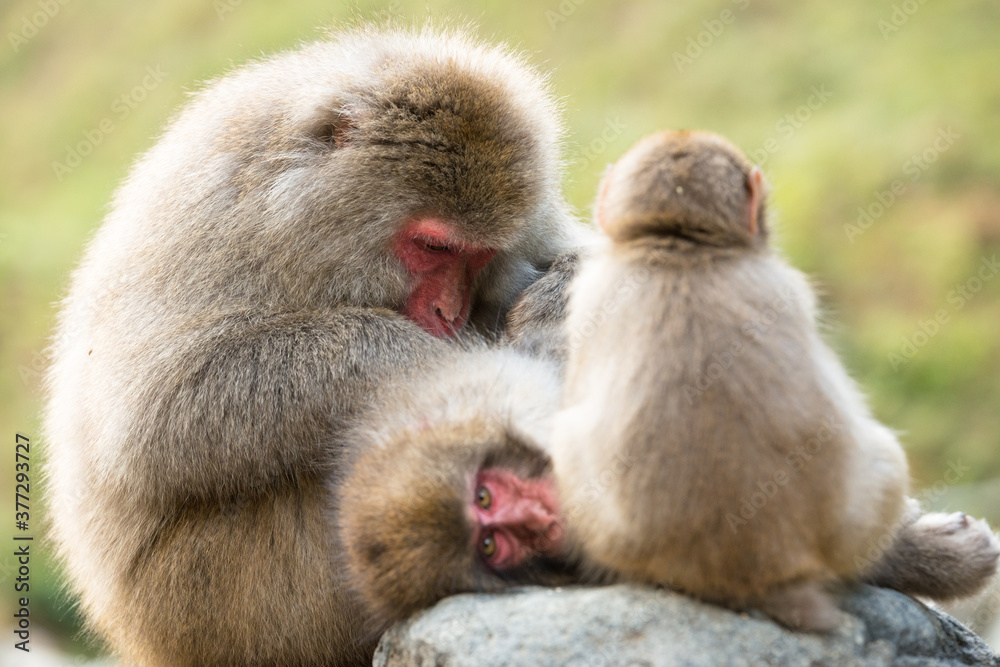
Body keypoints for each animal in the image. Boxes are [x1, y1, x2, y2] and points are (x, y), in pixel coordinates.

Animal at [43, 26, 584, 667]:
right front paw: (432, 357)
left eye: (479, 256)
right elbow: (155, 418)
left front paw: (559, 300)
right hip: (219, 601)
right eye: (433, 246)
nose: (448, 313)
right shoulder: (220, 223)